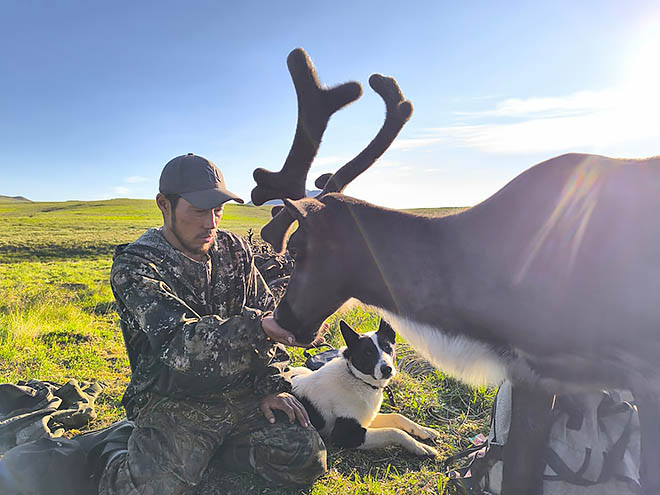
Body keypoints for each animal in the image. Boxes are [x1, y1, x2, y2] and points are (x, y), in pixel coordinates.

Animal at [288, 318, 438, 458]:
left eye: (387, 347)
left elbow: (397, 416)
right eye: (368, 353)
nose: (387, 369)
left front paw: (424, 430)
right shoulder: (345, 435)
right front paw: (420, 447)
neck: (357, 379)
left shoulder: (369, 416)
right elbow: (393, 431)